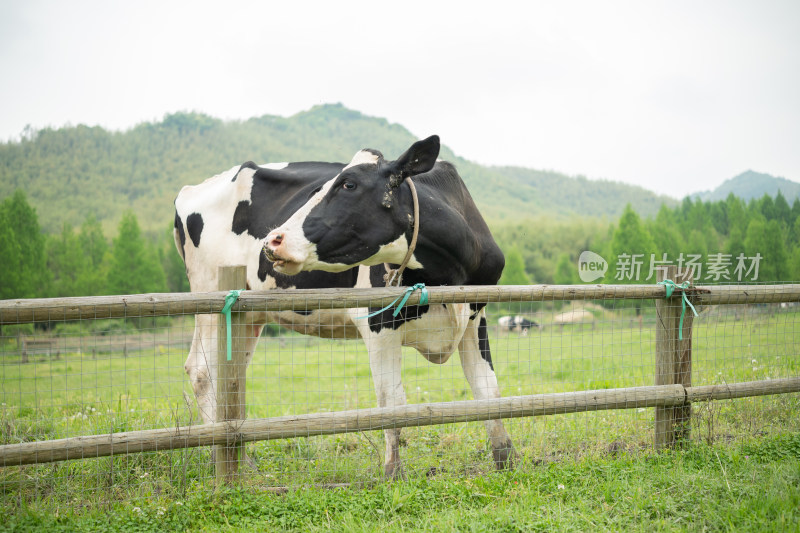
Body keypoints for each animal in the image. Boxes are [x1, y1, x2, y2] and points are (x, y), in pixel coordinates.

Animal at [264, 135, 520, 476]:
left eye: (348, 184)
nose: (273, 240)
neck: (448, 272)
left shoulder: (475, 316)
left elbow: (488, 390)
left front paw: (506, 460)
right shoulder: (378, 323)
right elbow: (392, 402)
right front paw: (393, 472)